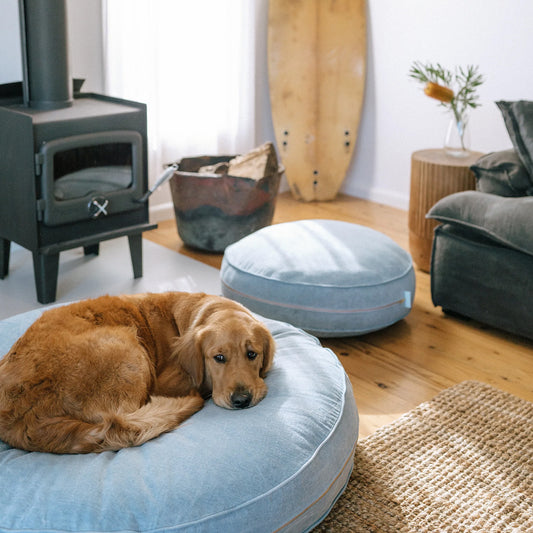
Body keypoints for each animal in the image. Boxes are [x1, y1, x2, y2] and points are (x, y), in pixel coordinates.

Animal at [0, 290, 274, 454]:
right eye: (219, 358)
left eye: (252, 354)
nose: (242, 400)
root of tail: (26, 421)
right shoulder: (166, 381)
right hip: (126, 345)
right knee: (127, 421)